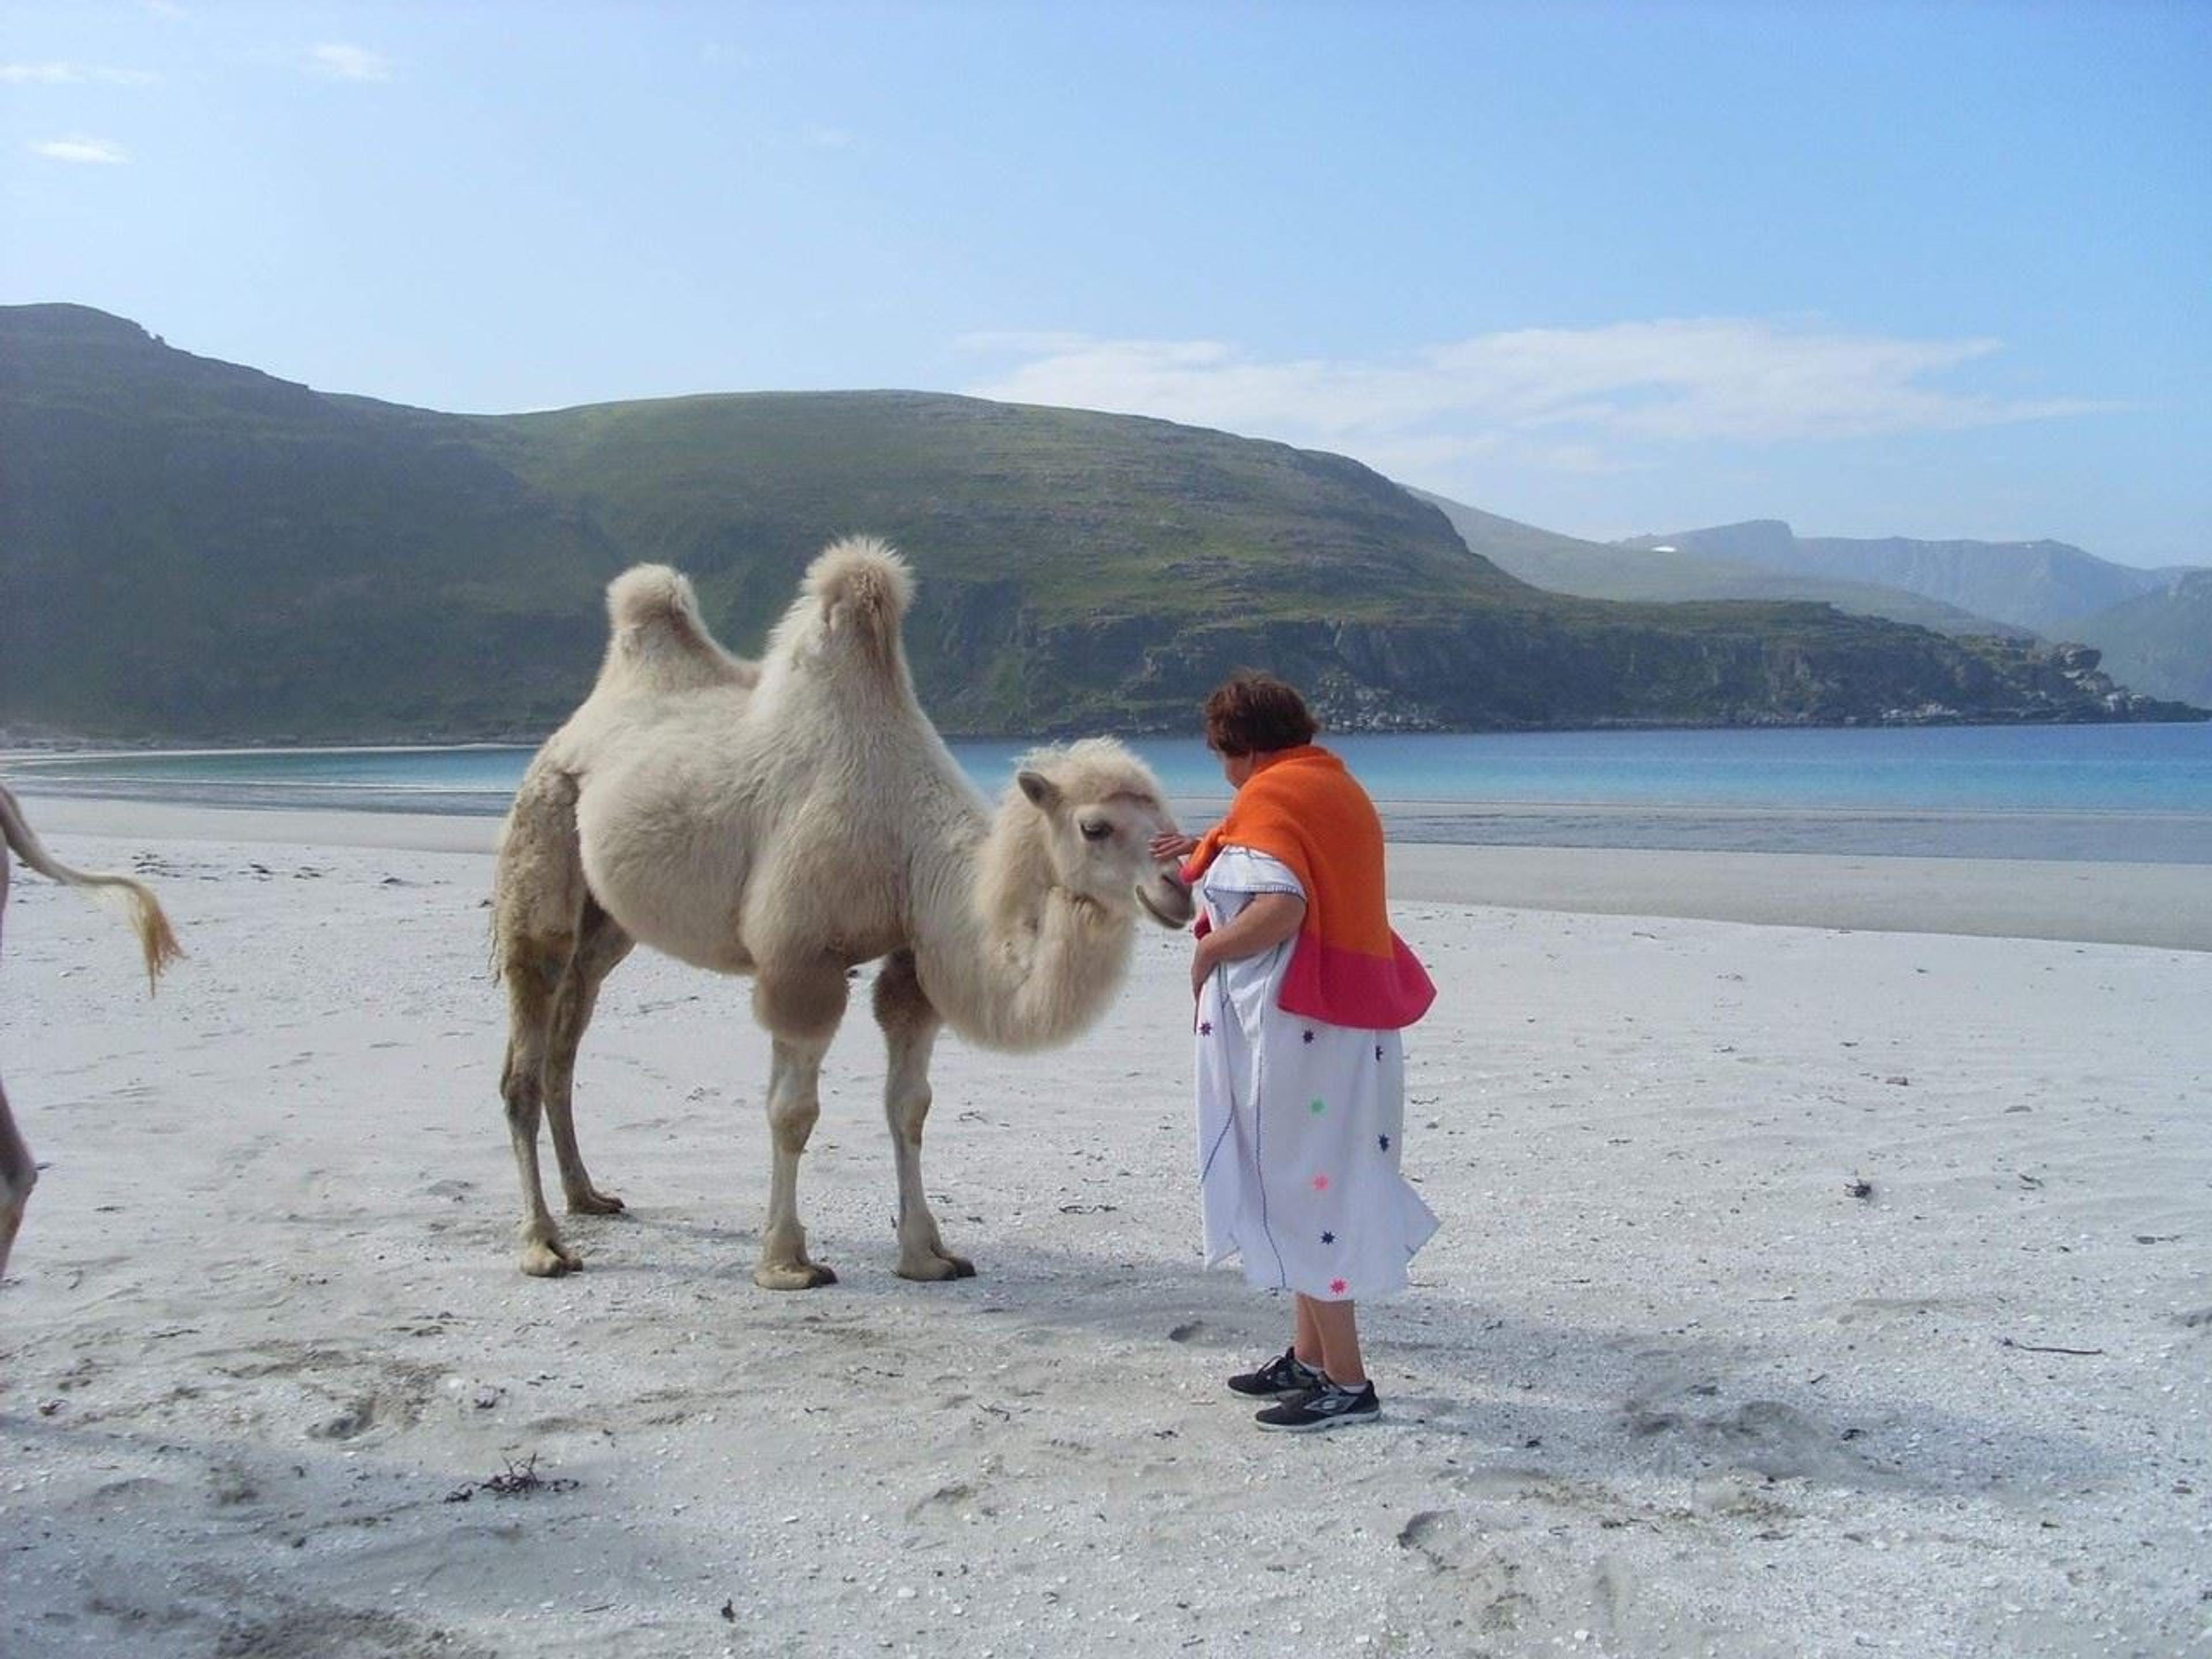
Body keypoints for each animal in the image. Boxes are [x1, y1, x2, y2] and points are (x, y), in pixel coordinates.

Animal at [493, 537, 1195, 1285]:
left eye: (1169, 819)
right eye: (1096, 827)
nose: (1177, 889)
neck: (913, 847)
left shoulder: (911, 962)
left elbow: (909, 1106)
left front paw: (926, 1254)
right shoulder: (801, 961)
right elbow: (793, 1112)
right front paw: (786, 1262)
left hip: (609, 923)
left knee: (570, 1034)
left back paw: (588, 1196)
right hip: (542, 833)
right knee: (529, 1035)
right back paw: (542, 1243)